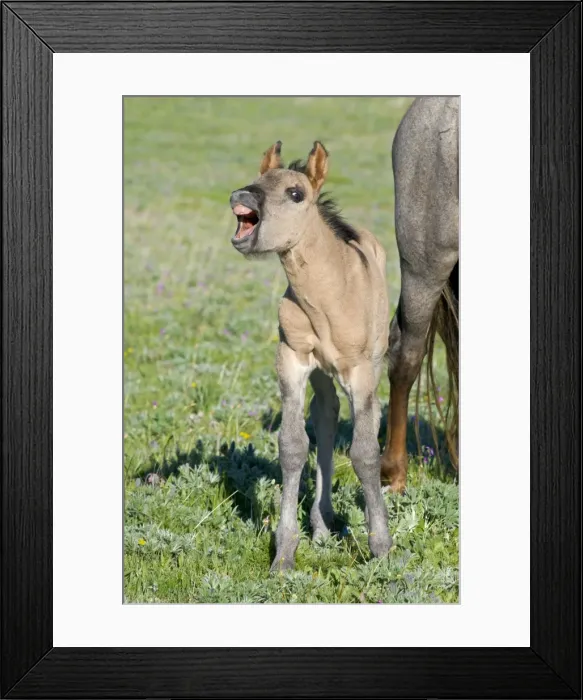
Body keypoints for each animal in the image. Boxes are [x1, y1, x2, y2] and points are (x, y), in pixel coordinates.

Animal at [230, 141, 392, 571]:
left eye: (295, 193)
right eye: (255, 180)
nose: (240, 197)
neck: (328, 296)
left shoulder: (360, 371)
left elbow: (365, 452)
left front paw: (383, 548)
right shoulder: (292, 359)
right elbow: (292, 446)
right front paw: (284, 555)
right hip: (321, 374)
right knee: (326, 415)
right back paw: (321, 524)